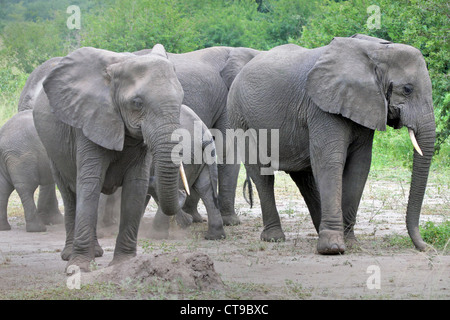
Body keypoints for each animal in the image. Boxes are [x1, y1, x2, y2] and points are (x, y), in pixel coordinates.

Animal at [33, 43, 188, 272]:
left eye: (181, 99)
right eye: (137, 103)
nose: (182, 193)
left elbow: (136, 187)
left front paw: (125, 263)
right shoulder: (89, 120)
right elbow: (90, 182)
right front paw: (78, 267)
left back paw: (96, 252)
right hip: (52, 150)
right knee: (71, 194)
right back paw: (70, 254)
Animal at [229, 34, 436, 255]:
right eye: (407, 89)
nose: (427, 247)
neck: (374, 50)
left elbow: (359, 167)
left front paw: (350, 243)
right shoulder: (321, 107)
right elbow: (329, 162)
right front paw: (333, 248)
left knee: (304, 179)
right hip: (240, 118)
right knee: (263, 175)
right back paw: (275, 238)